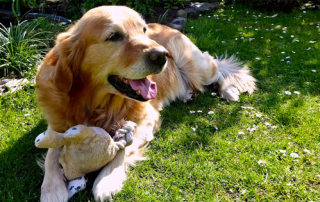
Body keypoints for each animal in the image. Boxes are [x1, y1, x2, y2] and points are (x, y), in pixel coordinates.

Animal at [35, 5, 255, 201]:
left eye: (143, 30)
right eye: (113, 36)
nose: (163, 55)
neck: (97, 104)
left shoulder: (147, 118)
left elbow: (123, 146)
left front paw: (106, 181)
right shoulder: (57, 124)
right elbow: (51, 155)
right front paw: (52, 190)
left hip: (196, 65)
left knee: (217, 69)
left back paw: (228, 91)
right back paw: (187, 94)